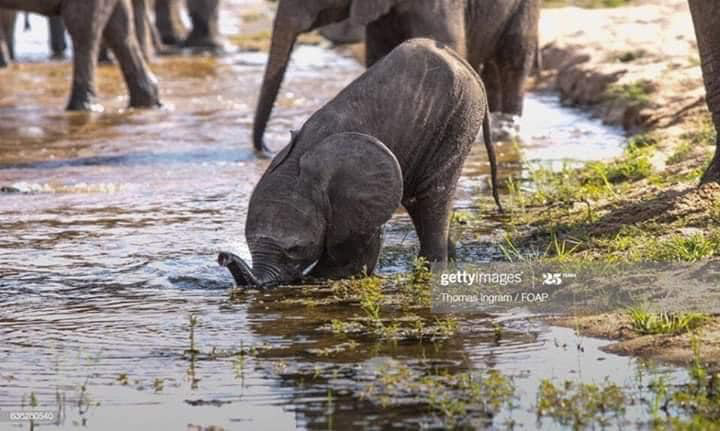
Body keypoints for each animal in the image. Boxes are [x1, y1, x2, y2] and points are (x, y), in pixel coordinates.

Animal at [219, 38, 500, 288]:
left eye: (295, 249)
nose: (223, 257)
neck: (295, 166)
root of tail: (462, 61)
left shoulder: (353, 202)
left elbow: (354, 254)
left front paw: (316, 278)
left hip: (457, 118)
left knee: (431, 197)